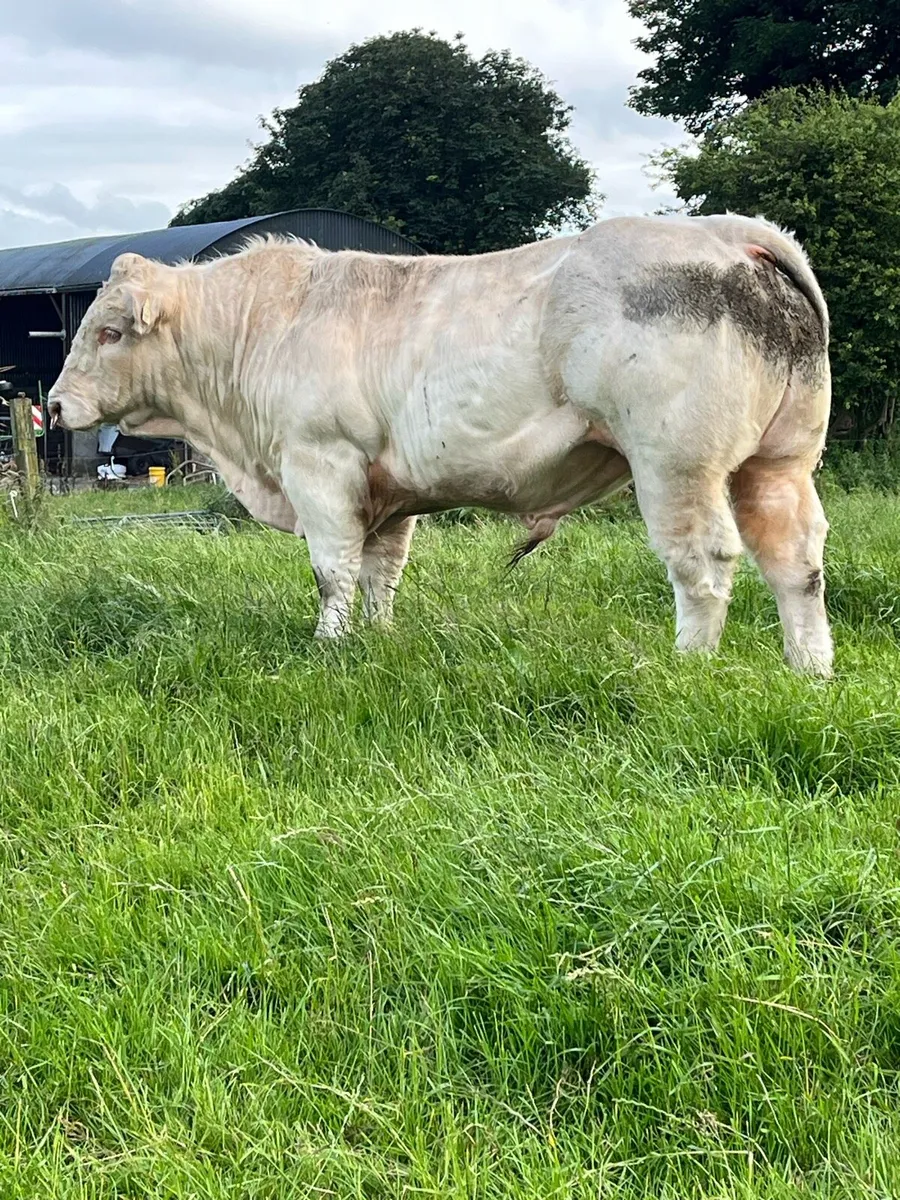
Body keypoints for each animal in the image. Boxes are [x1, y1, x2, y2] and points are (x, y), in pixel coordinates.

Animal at [48, 214, 834, 675]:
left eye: (109, 332)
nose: (55, 405)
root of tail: (734, 234)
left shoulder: (319, 462)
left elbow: (332, 570)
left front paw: (328, 646)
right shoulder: (388, 493)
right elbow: (381, 573)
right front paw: (377, 640)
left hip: (675, 463)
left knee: (704, 562)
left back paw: (688, 666)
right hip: (781, 462)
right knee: (796, 562)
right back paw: (810, 670)